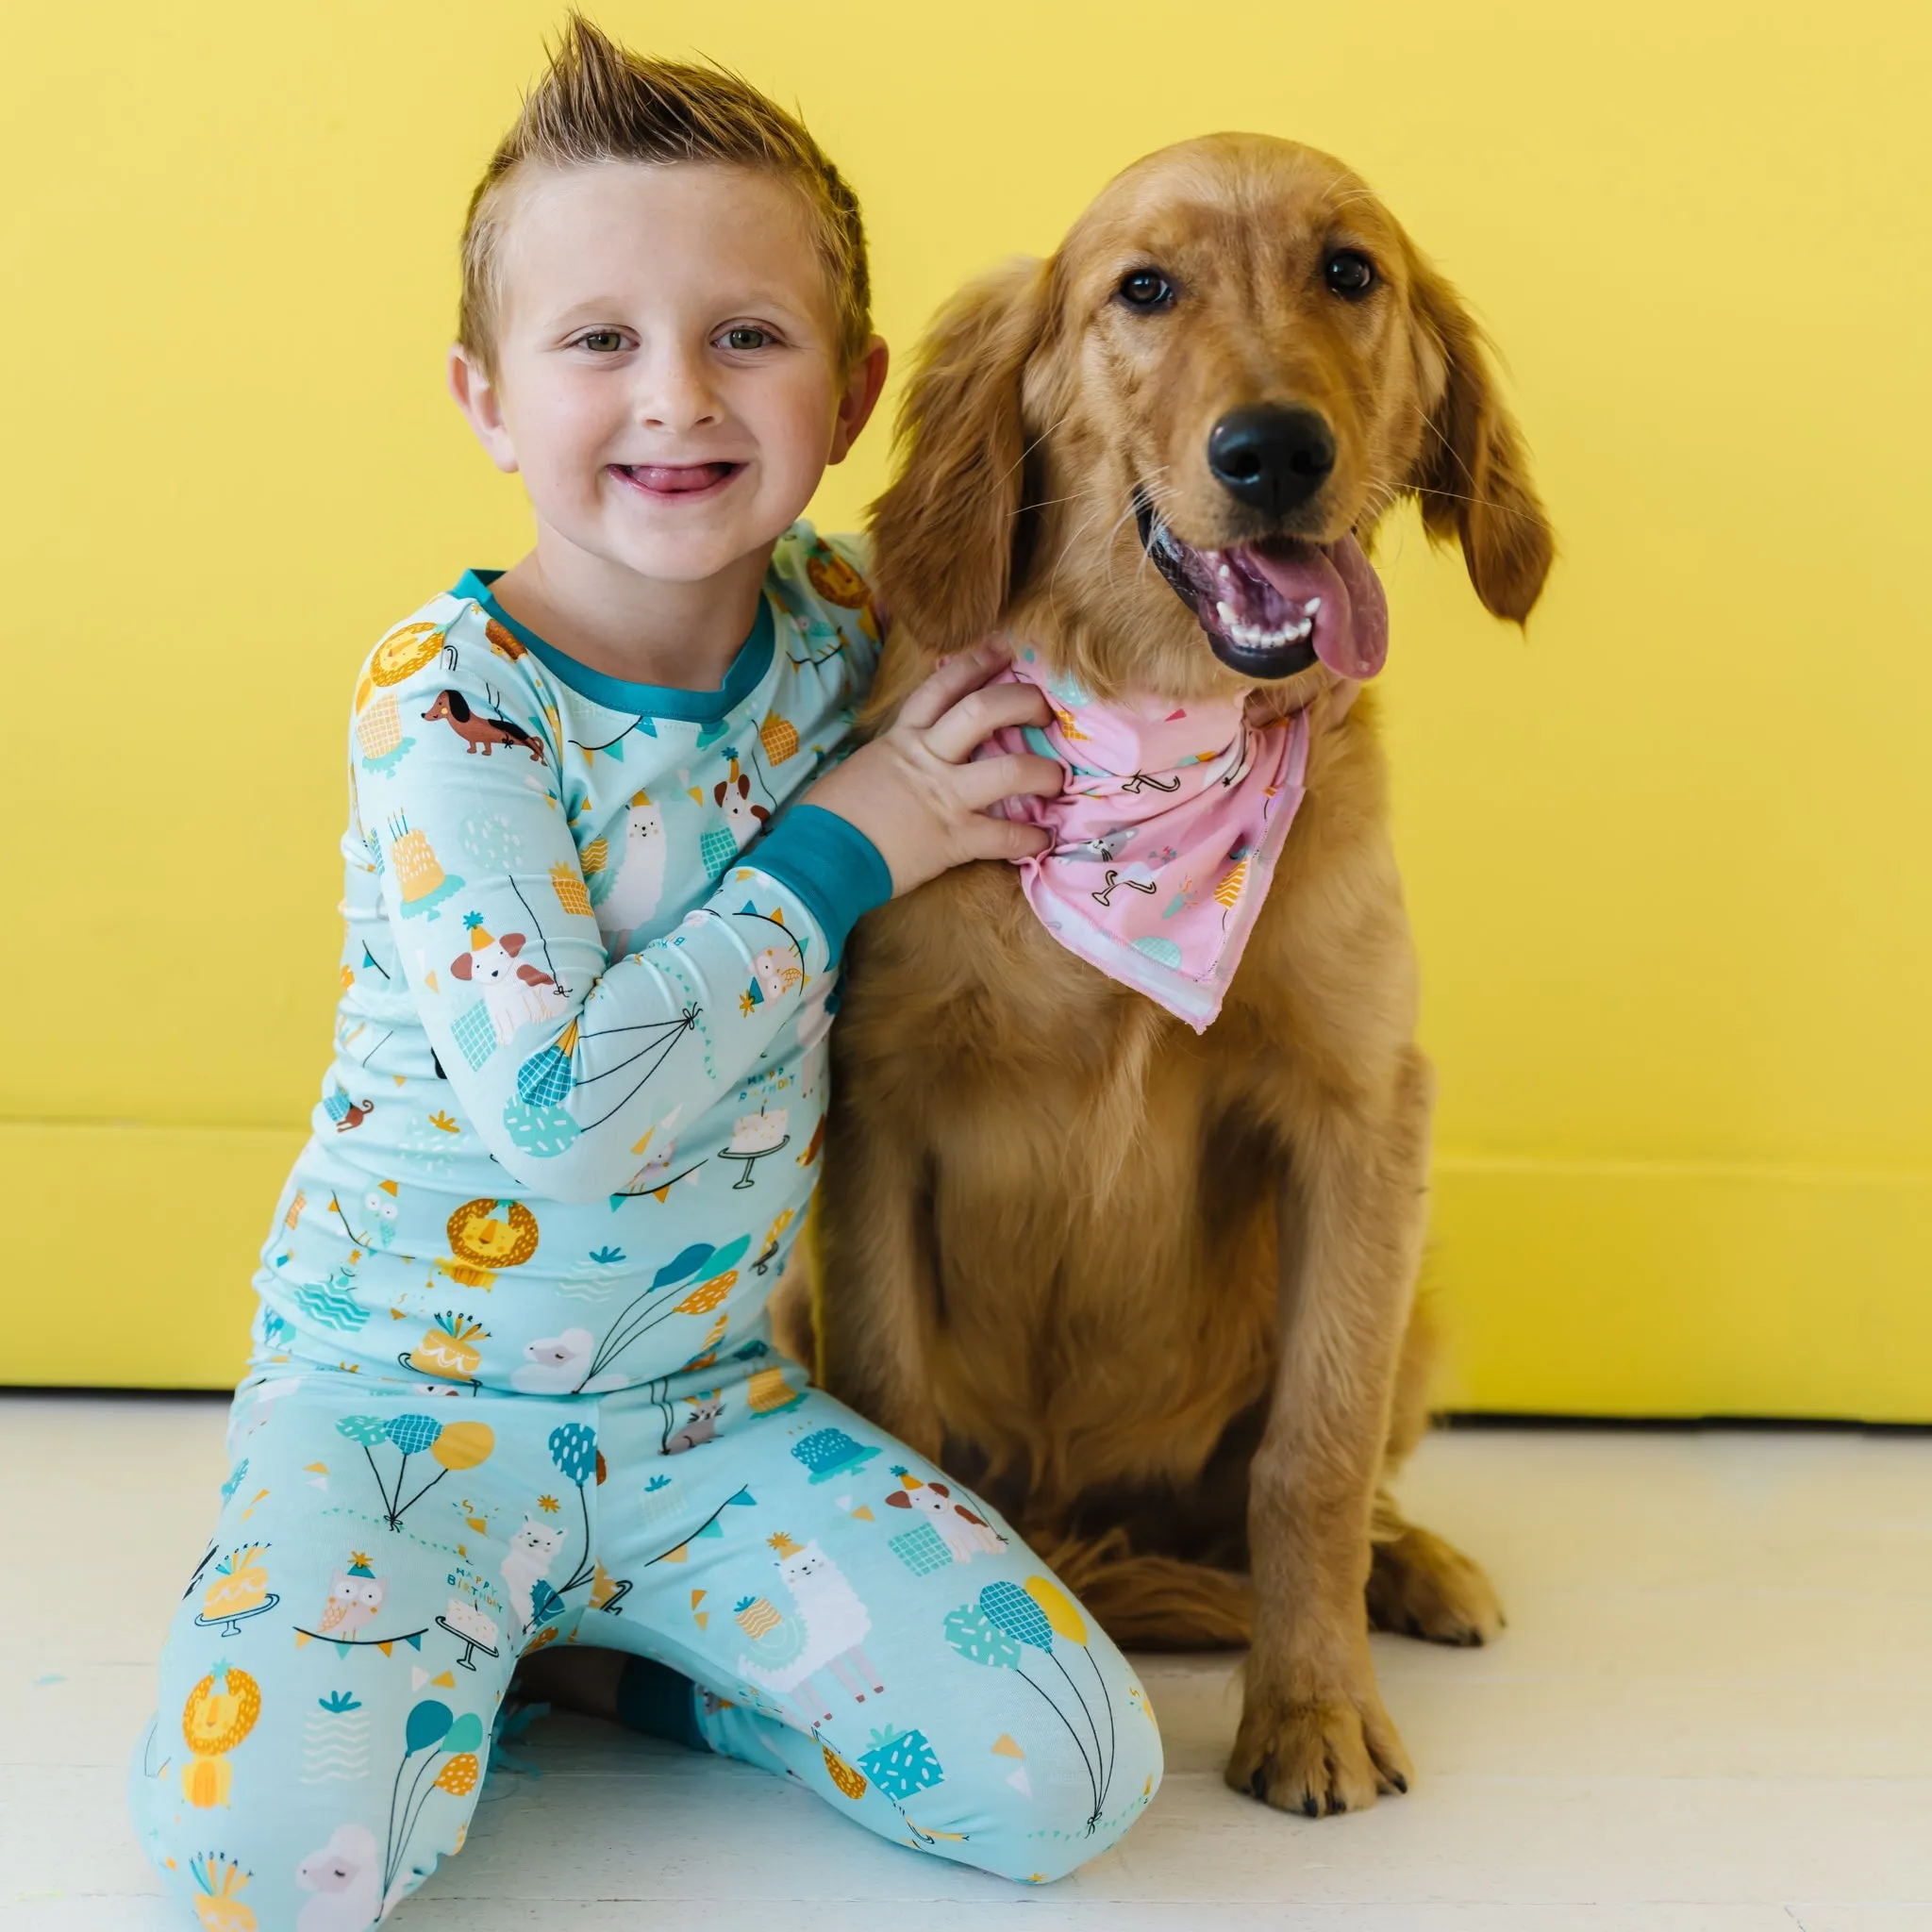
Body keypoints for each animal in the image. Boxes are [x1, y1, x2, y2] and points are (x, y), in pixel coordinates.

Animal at [784, 132, 1553, 1807]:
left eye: (1351, 271)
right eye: (1143, 289)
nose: (1273, 451)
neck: (1157, 716)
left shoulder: (1362, 1114)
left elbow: (1312, 1453)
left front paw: (1314, 1708)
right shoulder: (881, 1105)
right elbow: (894, 1395)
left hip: (1415, 1290)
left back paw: (1412, 1568)